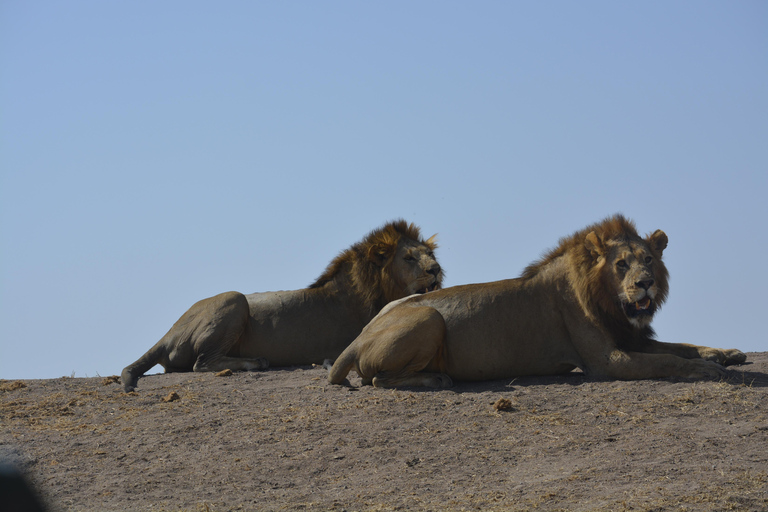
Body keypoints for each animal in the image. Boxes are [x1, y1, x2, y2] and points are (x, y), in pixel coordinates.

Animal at [121, 220, 444, 392]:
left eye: (429, 254)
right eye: (408, 258)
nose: (436, 269)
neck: (373, 287)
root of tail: (168, 334)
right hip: (234, 298)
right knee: (202, 363)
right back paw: (255, 362)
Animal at [328, 213, 744, 388]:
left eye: (650, 260)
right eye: (622, 264)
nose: (646, 284)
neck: (609, 300)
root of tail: (356, 340)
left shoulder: (631, 336)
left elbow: (681, 346)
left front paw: (724, 353)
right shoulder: (607, 360)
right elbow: (668, 360)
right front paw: (707, 370)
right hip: (429, 317)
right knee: (377, 379)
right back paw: (436, 379)